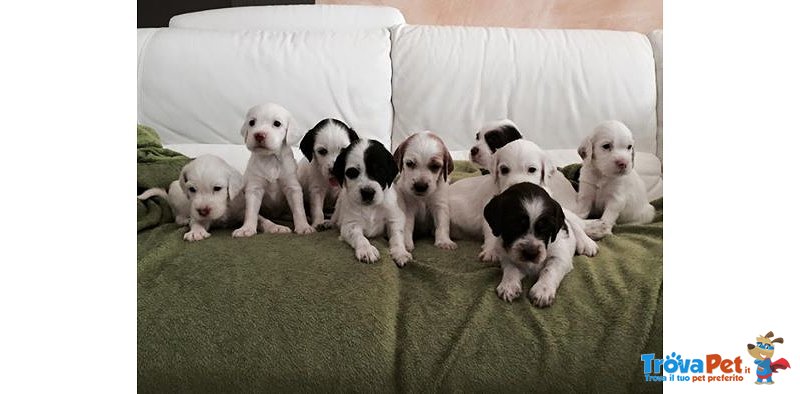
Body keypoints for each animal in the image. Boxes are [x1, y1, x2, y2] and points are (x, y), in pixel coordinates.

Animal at [231, 102, 316, 237]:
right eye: (252, 122)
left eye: (277, 123)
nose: (259, 135)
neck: (270, 158)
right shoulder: (254, 188)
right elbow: (251, 212)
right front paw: (247, 228)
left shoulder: (292, 186)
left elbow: (298, 209)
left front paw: (303, 226)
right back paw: (275, 227)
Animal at [330, 139, 412, 268]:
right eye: (352, 173)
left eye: (380, 171)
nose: (367, 193)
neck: (371, 208)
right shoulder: (350, 225)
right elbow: (359, 237)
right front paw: (366, 250)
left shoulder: (394, 218)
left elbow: (397, 236)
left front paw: (400, 252)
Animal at [450, 140, 592, 264]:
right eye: (504, 170)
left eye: (532, 169)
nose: (519, 186)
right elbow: (492, 230)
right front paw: (491, 251)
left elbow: (569, 219)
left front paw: (585, 241)